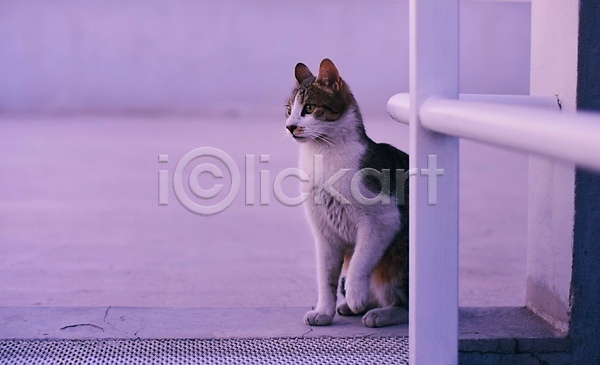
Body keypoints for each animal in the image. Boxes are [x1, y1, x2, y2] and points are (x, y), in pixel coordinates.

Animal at [284, 58, 408, 326]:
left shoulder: (383, 220)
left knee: (407, 301)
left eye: (309, 108)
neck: (322, 156)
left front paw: (355, 295)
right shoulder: (324, 231)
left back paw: (380, 312)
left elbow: (360, 261)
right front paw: (323, 311)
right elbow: (326, 275)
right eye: (288, 110)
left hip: (399, 257)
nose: (290, 127)